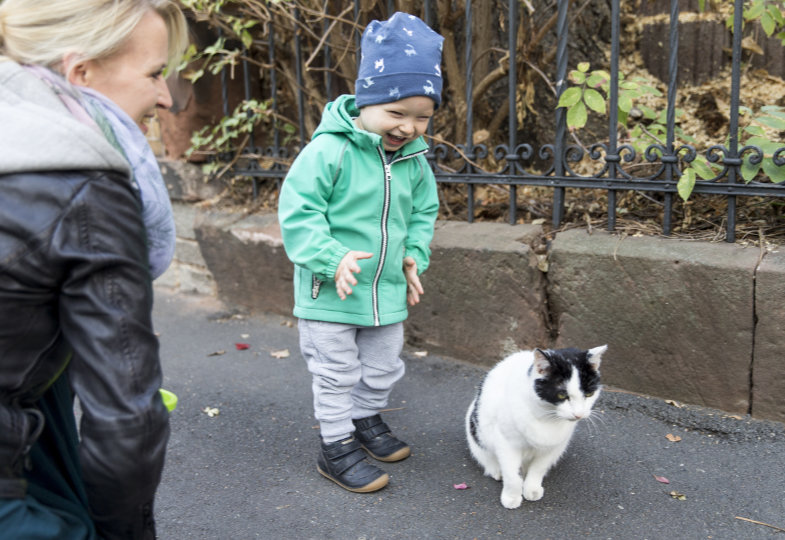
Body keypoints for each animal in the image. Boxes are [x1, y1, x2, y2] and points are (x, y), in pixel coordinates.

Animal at [466, 344, 608, 508]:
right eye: (561, 395)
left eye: (589, 394)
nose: (579, 414)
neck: (546, 417)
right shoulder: (506, 443)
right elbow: (512, 475)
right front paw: (511, 497)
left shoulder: (551, 447)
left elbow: (538, 469)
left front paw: (532, 489)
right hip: (477, 431)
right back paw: (497, 471)